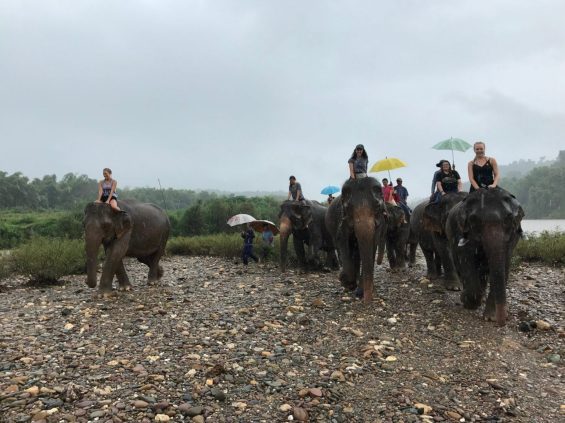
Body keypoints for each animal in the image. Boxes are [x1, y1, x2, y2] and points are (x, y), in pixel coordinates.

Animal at [324, 176, 386, 304]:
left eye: (378, 207)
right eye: (348, 208)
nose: (367, 302)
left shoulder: (379, 222)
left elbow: (372, 246)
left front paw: (359, 291)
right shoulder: (342, 219)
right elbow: (343, 241)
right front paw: (347, 282)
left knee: (357, 253)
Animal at [446, 187, 524, 326]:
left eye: (508, 220)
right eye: (475, 220)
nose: (502, 323)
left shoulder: (513, 236)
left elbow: (504, 264)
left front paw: (490, 318)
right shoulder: (462, 231)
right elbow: (466, 259)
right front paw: (468, 303)